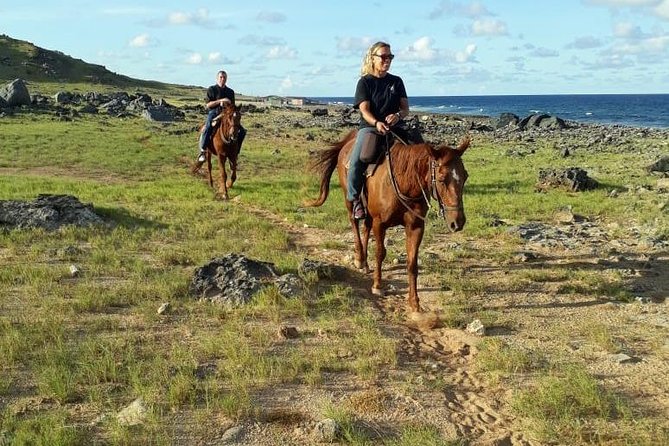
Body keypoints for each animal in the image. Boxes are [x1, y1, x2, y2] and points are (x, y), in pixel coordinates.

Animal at [306, 131, 468, 314]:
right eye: (441, 179)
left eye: (465, 176)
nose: (458, 222)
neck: (404, 181)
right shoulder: (380, 224)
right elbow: (380, 253)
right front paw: (377, 285)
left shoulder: (416, 226)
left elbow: (412, 262)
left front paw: (414, 302)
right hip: (349, 200)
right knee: (354, 223)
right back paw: (359, 258)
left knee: (365, 227)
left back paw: (365, 263)